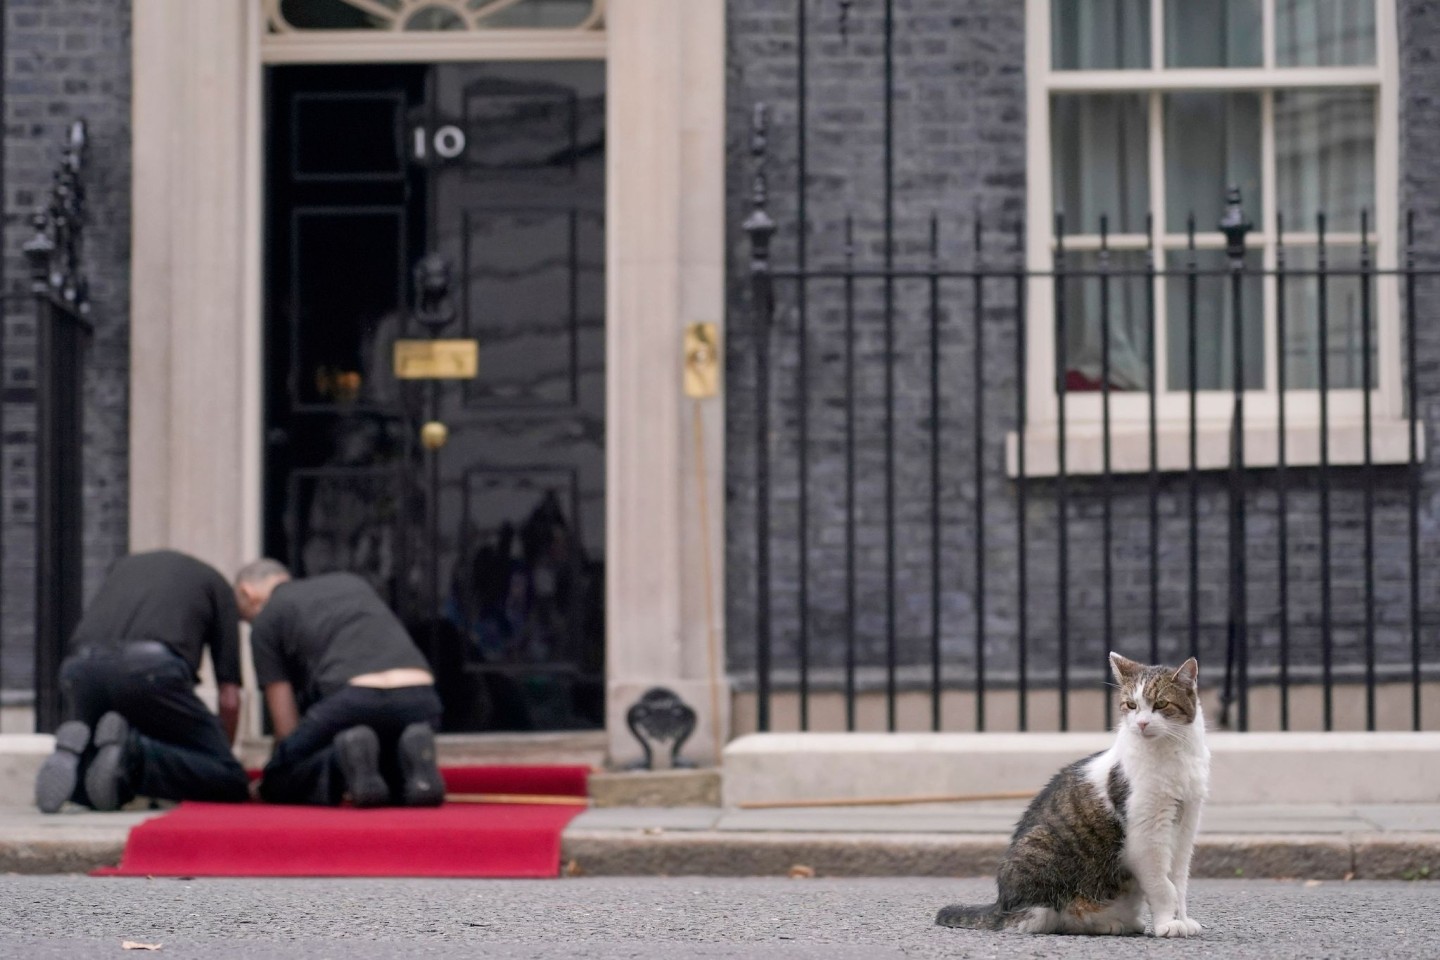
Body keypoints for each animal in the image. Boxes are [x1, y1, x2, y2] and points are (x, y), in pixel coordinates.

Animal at [938, 653, 1209, 938]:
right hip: (1042, 855)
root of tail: (1001, 905)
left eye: (1161, 703)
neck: (1172, 755)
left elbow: (1179, 882)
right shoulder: (1146, 836)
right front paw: (1167, 923)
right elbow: (1162, 886)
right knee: (1045, 918)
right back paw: (1105, 923)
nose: (1142, 723)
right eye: (1131, 705)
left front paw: (1183, 919)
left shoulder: (1186, 827)